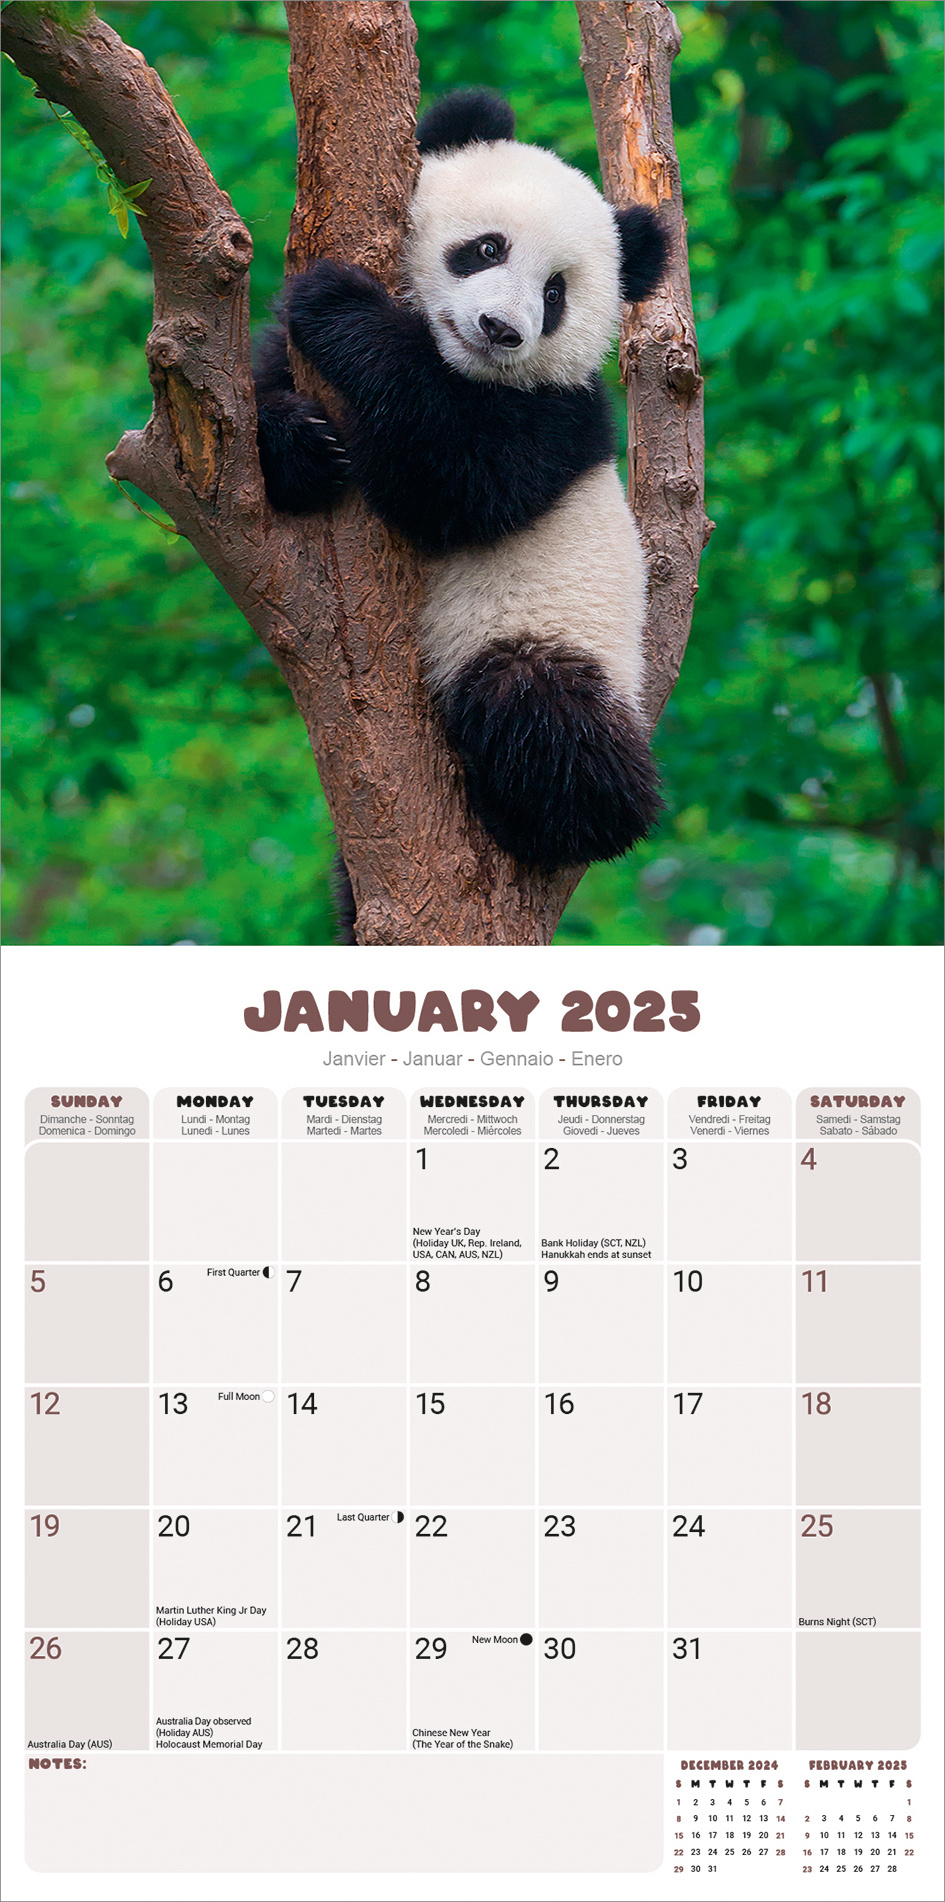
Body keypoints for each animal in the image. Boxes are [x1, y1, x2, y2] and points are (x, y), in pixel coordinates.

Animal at [254, 88, 669, 876]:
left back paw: (552, 819)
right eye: (487, 248)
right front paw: (303, 445)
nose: (501, 329)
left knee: (542, 714)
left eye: (555, 293)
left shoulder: (559, 417)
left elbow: (457, 483)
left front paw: (337, 303)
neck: (463, 366)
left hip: (550, 634)